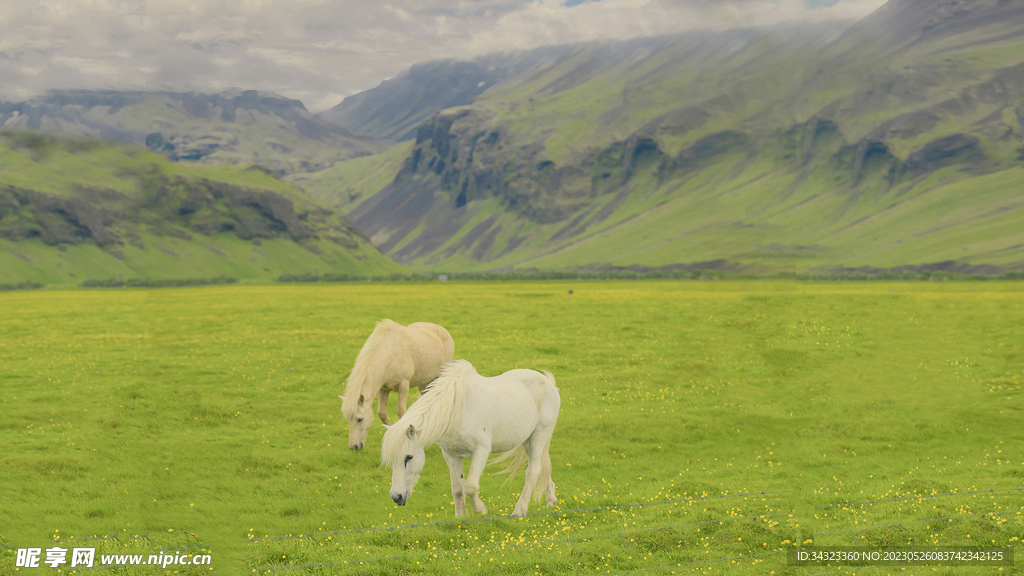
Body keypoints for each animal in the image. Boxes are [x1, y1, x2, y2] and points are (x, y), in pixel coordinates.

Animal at [339, 317, 452, 448]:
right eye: (348, 419)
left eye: (359, 419)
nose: (354, 447)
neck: (389, 353)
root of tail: (442, 329)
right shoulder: (383, 388)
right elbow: (381, 413)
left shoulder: (403, 386)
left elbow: (401, 413)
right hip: (424, 383)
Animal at [382, 358, 561, 516]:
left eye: (409, 457)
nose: (396, 497)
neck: (459, 410)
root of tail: (549, 383)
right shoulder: (451, 455)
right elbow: (457, 488)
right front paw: (461, 516)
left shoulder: (481, 451)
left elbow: (470, 486)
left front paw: (480, 509)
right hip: (527, 441)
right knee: (543, 468)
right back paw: (551, 500)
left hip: (539, 436)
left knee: (533, 472)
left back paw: (519, 511)